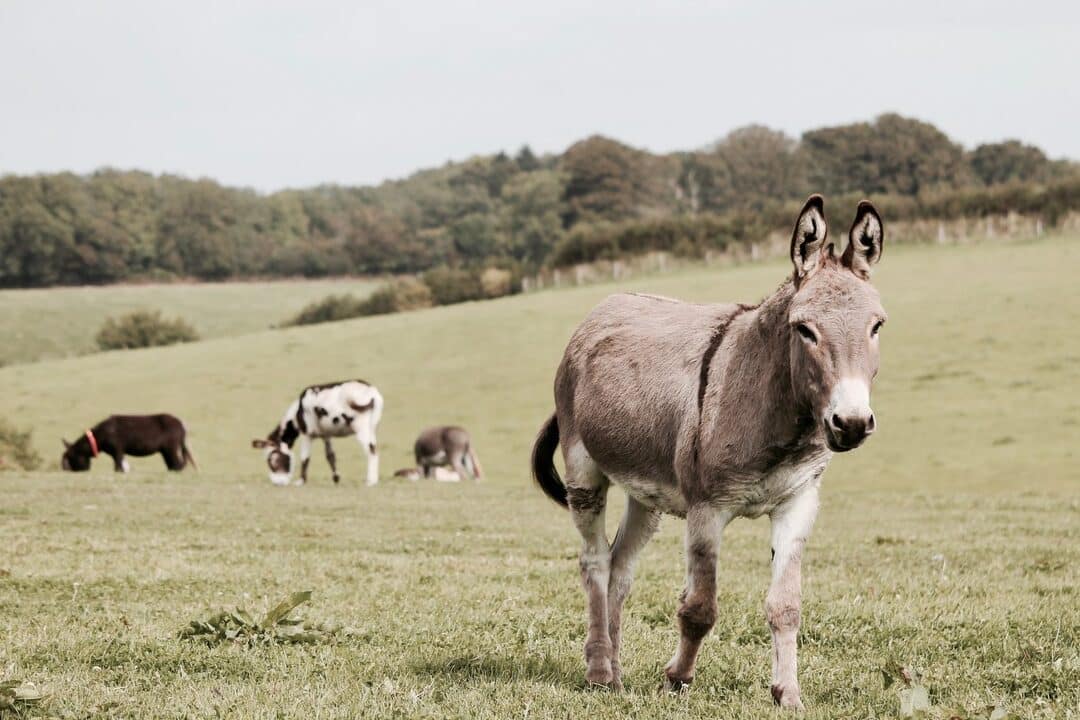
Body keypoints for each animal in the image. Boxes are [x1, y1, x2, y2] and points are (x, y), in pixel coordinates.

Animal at [62, 414, 198, 474]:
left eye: (70, 457)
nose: (66, 470)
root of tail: (181, 425)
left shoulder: (117, 449)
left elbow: (117, 465)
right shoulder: (117, 452)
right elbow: (119, 464)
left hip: (171, 448)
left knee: (177, 464)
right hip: (165, 450)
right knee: (172, 464)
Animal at [251, 379, 384, 487]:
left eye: (273, 460)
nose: (277, 484)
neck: (298, 411)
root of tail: (371, 391)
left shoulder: (307, 434)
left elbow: (305, 458)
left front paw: (301, 481)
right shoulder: (326, 435)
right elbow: (330, 456)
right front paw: (336, 478)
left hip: (361, 427)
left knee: (372, 452)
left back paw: (371, 481)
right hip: (371, 427)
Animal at [531, 198, 885, 708]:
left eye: (877, 326)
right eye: (805, 330)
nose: (852, 423)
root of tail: (604, 306)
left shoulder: (798, 503)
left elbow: (786, 606)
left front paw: (788, 694)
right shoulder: (706, 509)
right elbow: (700, 608)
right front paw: (677, 678)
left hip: (646, 495)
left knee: (620, 567)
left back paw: (615, 675)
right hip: (584, 471)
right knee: (594, 562)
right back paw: (598, 671)